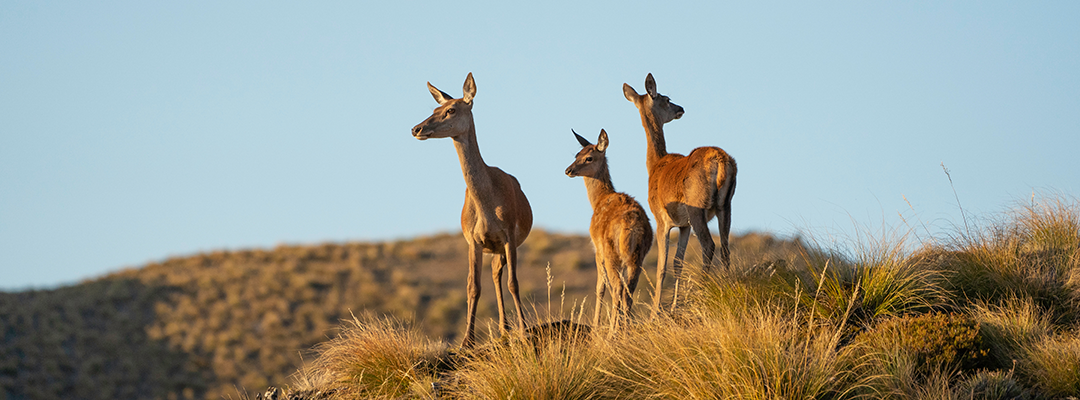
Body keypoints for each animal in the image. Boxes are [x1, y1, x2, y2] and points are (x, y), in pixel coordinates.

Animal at [410, 73, 533, 348]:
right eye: (434, 109)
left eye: (451, 109)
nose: (416, 129)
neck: (487, 206)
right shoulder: (473, 240)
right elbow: (473, 286)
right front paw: (467, 340)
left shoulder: (508, 235)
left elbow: (514, 282)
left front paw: (524, 330)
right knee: (492, 274)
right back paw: (502, 329)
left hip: (502, 247)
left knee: (499, 274)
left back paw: (508, 328)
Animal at [561, 128, 652, 335]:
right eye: (577, 154)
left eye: (589, 158)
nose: (568, 170)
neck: (598, 200)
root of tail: (632, 225)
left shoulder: (597, 249)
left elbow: (600, 287)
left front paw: (596, 325)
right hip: (638, 255)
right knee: (629, 289)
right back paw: (625, 328)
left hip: (612, 252)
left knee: (618, 287)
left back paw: (613, 331)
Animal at [622, 73, 738, 313]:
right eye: (666, 99)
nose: (680, 108)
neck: (655, 165)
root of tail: (722, 161)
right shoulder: (684, 225)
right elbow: (678, 263)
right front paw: (674, 305)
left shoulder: (661, 220)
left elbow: (662, 267)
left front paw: (656, 311)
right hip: (725, 205)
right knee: (725, 247)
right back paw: (727, 287)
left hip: (697, 208)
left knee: (709, 245)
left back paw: (704, 291)